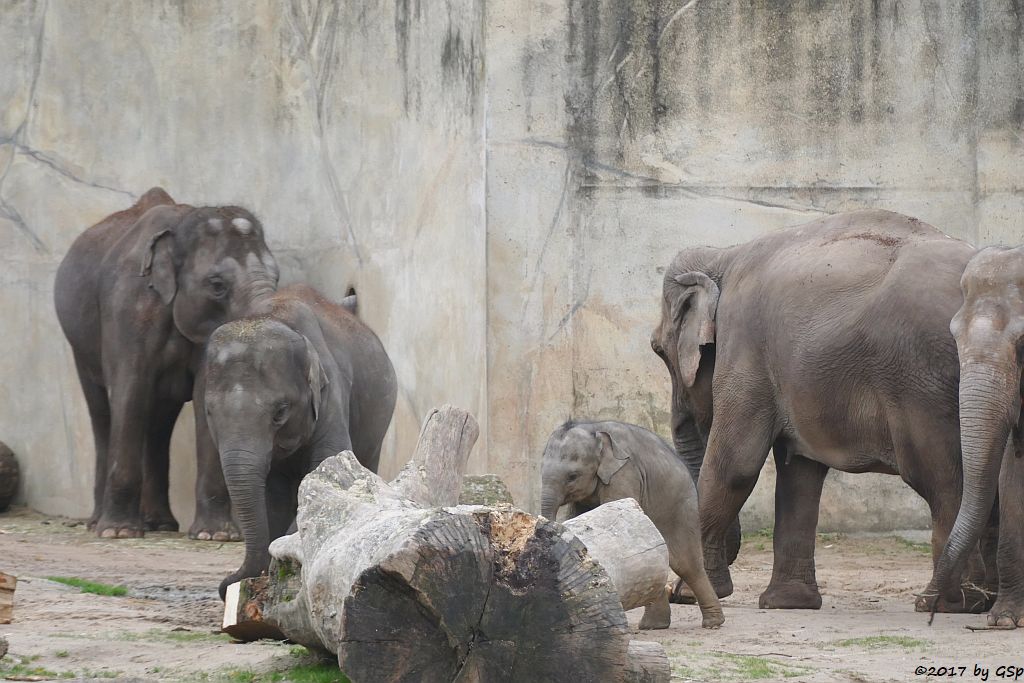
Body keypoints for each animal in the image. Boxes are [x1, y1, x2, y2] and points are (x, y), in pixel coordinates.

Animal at [54, 188, 280, 540]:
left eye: (277, 277)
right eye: (217, 285)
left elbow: (204, 399)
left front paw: (216, 535)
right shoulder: (128, 309)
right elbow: (130, 392)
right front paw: (119, 533)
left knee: (158, 423)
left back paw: (158, 523)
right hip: (80, 345)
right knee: (103, 413)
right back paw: (100, 523)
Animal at [201, 284, 397, 598]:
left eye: (280, 411)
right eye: (209, 411)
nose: (226, 586)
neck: (273, 315)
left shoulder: (331, 393)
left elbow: (326, 468)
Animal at [540, 421, 724, 630]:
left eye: (572, 476)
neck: (594, 430)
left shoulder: (625, 474)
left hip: (681, 507)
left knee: (686, 563)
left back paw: (712, 623)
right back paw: (654, 626)